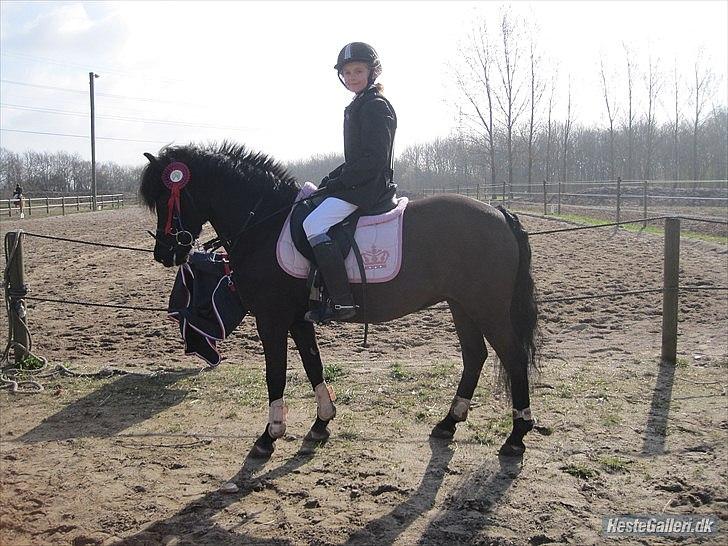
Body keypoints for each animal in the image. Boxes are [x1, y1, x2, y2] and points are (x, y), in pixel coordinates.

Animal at [139, 141, 540, 458]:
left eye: (167, 197)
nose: (165, 253)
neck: (266, 223)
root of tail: (499, 213)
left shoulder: (271, 318)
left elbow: (276, 374)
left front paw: (270, 436)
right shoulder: (297, 318)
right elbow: (313, 365)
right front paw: (321, 423)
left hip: (486, 307)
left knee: (513, 358)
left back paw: (516, 436)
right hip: (462, 306)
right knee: (475, 356)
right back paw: (448, 422)